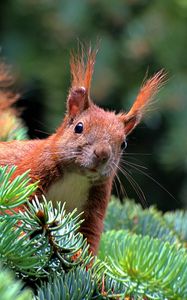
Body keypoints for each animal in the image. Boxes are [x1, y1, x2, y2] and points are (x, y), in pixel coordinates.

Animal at [0, 48, 165, 253]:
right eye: (79, 127)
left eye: (123, 144)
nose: (102, 154)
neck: (76, 177)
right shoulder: (30, 171)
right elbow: (16, 204)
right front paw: (20, 238)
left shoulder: (94, 211)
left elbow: (88, 240)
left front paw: (81, 260)